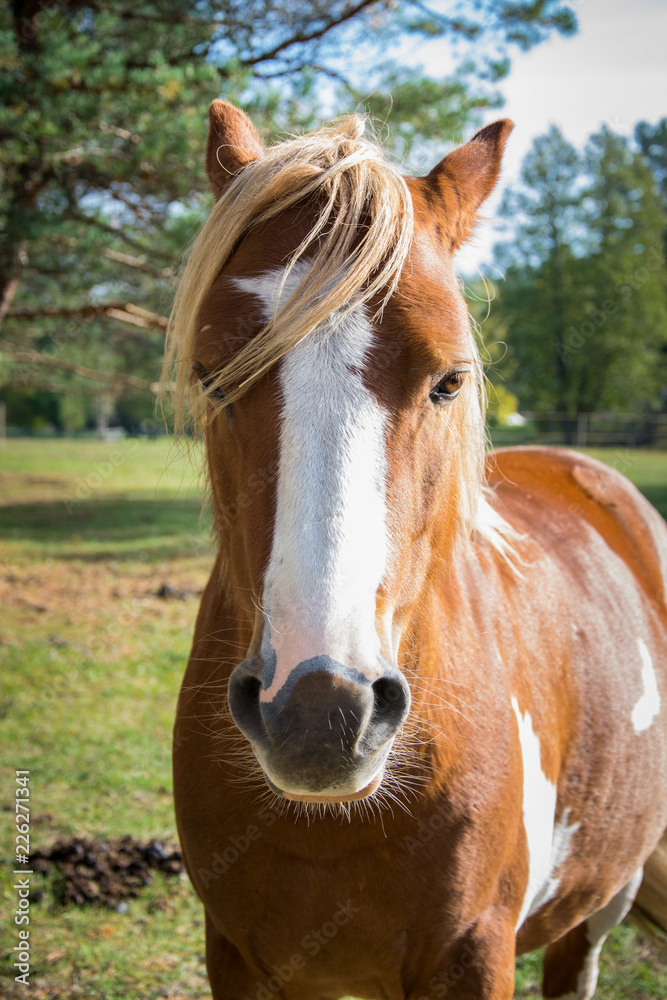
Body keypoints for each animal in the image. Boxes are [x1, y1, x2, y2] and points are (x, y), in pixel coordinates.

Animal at [166, 101, 667, 1000]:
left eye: (450, 380)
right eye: (213, 376)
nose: (321, 711)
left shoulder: (472, 952)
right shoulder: (237, 956)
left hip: (602, 894)